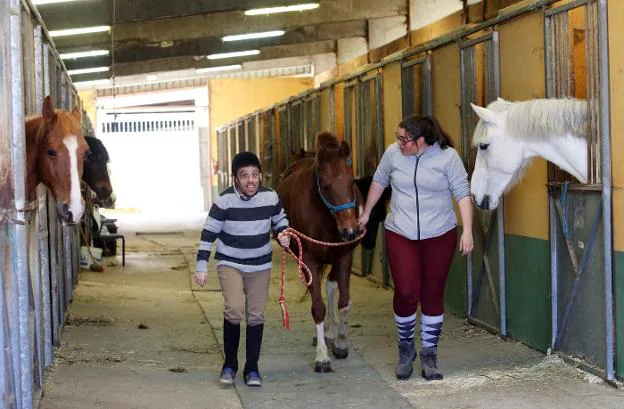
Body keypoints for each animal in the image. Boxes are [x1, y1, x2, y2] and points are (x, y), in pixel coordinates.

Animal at [276, 131, 364, 372]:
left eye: (352, 181)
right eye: (325, 186)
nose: (350, 231)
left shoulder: (344, 257)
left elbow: (344, 301)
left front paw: (341, 343)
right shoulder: (310, 261)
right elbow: (318, 308)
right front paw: (322, 357)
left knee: (331, 286)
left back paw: (332, 334)